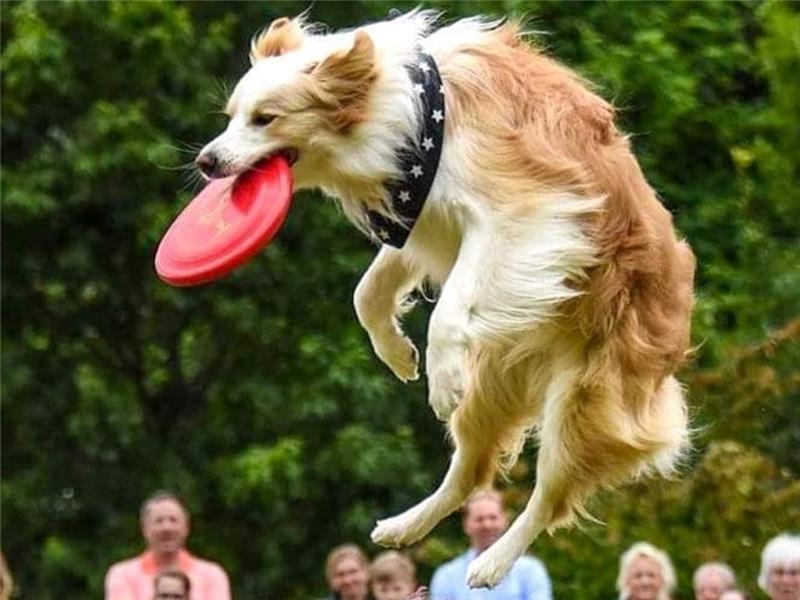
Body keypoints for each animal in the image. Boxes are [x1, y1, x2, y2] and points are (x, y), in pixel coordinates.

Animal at [195, 11, 692, 588]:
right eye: (231, 117)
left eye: (265, 119)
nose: (206, 161)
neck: (414, 118)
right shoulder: (423, 223)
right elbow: (367, 295)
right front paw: (398, 355)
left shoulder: (526, 215)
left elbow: (453, 304)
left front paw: (440, 373)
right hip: (498, 380)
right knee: (471, 473)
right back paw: (404, 526)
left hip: (584, 400)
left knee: (549, 496)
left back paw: (492, 562)